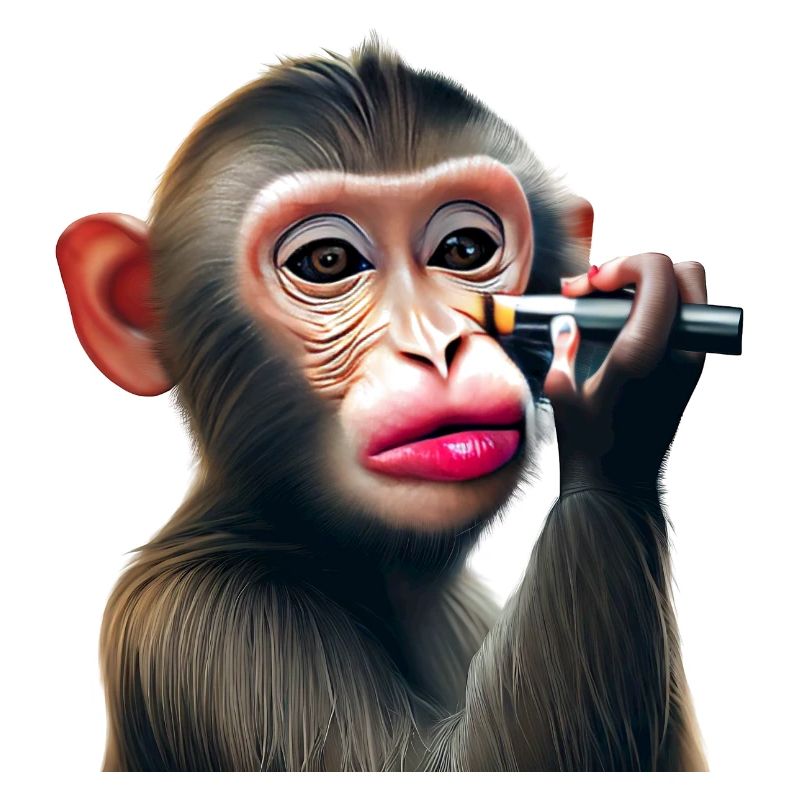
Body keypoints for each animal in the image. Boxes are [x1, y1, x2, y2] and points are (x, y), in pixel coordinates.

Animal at [56, 34, 709, 771]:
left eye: (464, 249)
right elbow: (441, 766)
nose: (437, 344)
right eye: (328, 262)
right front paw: (620, 387)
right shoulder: (213, 632)